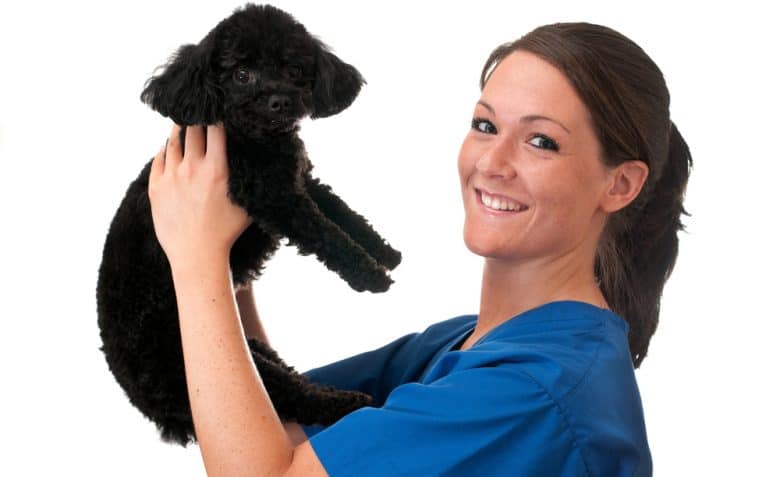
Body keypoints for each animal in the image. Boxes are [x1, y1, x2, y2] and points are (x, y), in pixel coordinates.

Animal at [96, 1, 400, 444]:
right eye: (241, 74)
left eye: (294, 69)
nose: (279, 101)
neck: (259, 140)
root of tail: (149, 407)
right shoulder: (274, 197)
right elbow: (326, 233)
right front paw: (371, 276)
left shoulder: (299, 179)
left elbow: (343, 212)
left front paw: (385, 252)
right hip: (180, 364)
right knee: (292, 396)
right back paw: (351, 403)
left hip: (244, 350)